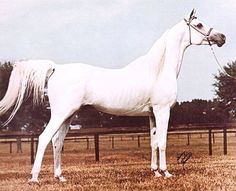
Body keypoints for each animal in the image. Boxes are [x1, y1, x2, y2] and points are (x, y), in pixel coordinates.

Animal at [0, 9, 225, 183]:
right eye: (199, 24)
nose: (222, 37)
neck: (159, 69)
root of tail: (57, 68)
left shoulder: (152, 114)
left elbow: (153, 142)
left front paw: (155, 172)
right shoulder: (162, 111)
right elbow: (162, 142)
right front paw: (166, 172)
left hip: (68, 115)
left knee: (57, 141)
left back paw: (60, 177)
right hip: (61, 113)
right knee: (44, 138)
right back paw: (34, 178)